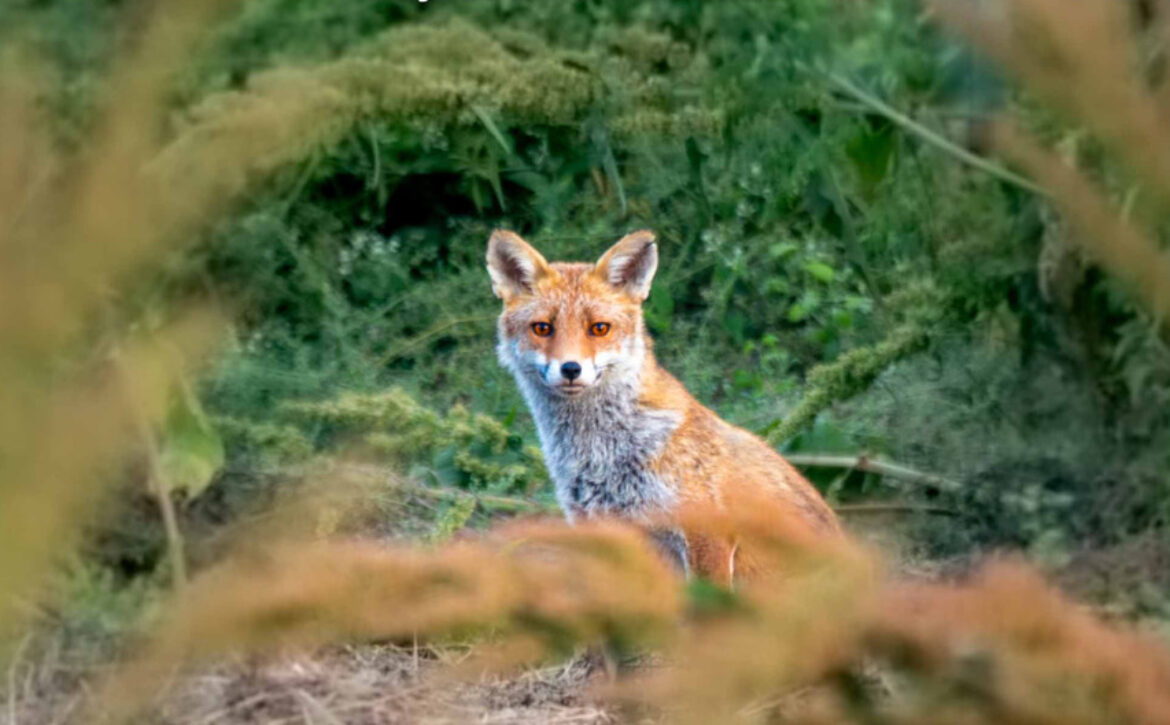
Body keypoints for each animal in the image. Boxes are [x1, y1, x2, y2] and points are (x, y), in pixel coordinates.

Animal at [487, 229, 840, 584]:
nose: (571, 369)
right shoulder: (603, 531)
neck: (603, 455)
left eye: (599, 328)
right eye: (542, 328)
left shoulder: (707, 532)